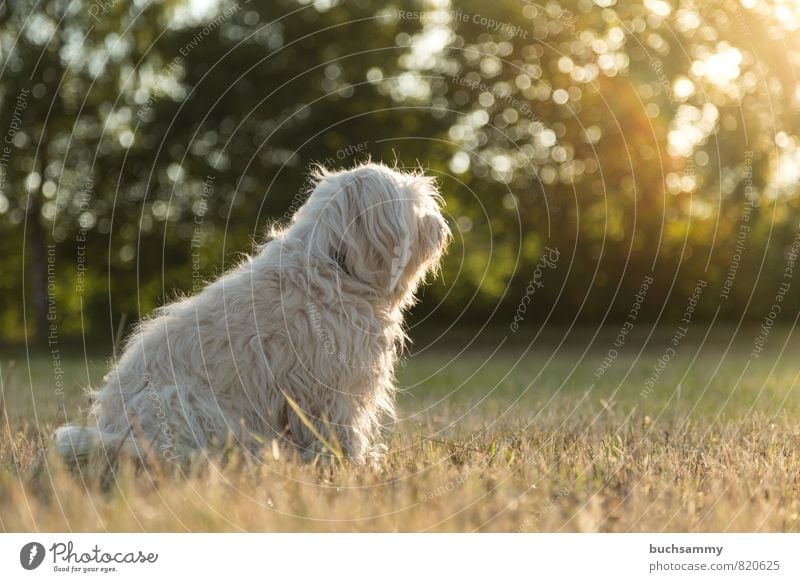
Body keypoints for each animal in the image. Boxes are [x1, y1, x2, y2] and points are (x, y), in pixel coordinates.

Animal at [56, 163, 450, 466]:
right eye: (413, 204)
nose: (442, 228)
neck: (333, 264)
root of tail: (115, 433)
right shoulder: (331, 390)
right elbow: (341, 433)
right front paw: (354, 469)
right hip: (187, 402)